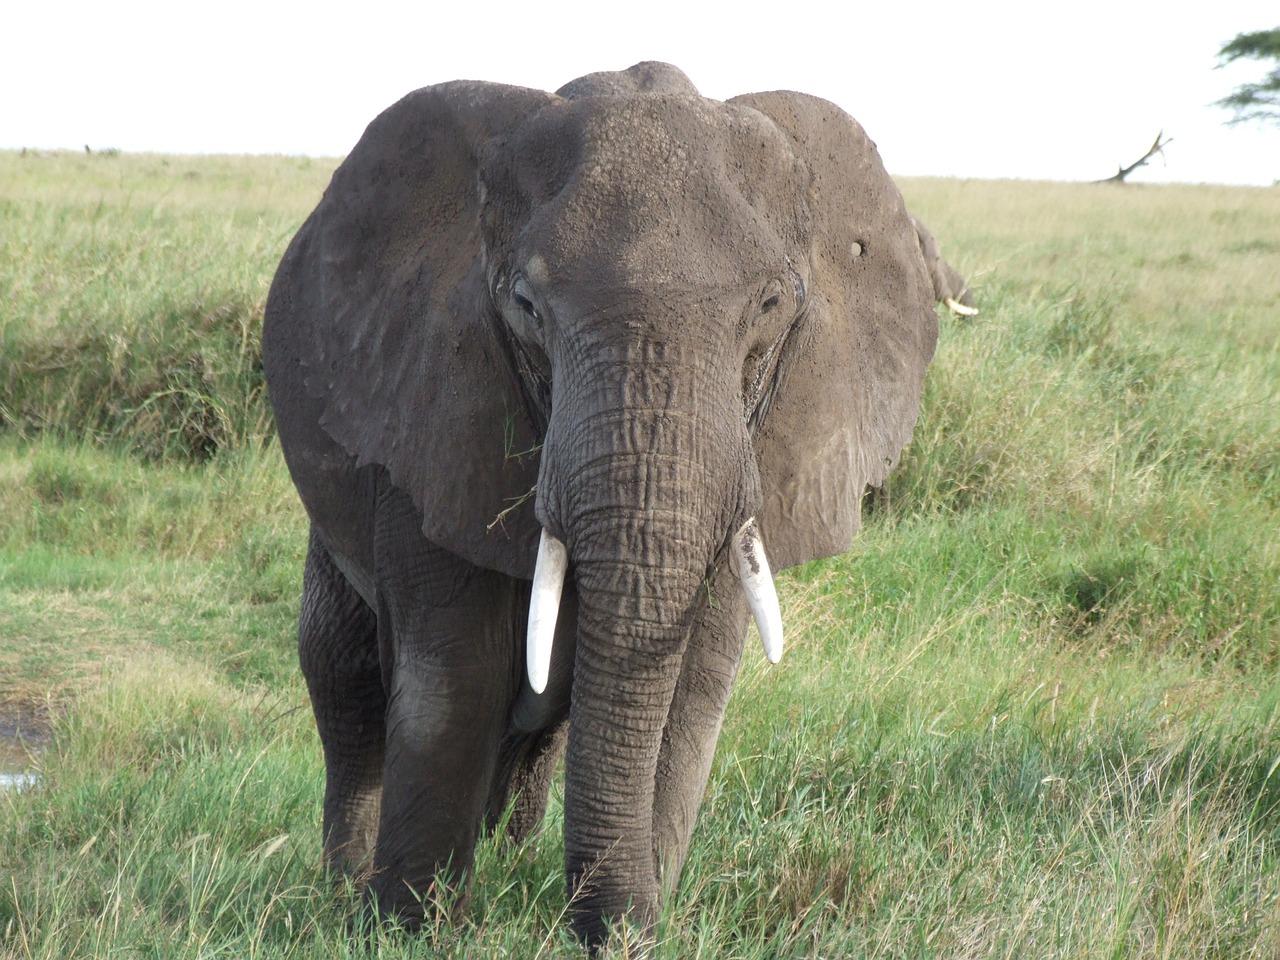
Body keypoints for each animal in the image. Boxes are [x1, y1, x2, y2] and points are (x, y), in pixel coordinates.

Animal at [262, 62, 942, 957]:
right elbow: (454, 677)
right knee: (342, 669)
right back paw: (345, 886)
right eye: (525, 306)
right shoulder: (436, 407)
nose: (615, 931)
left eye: (769, 308)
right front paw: (406, 932)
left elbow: (691, 693)